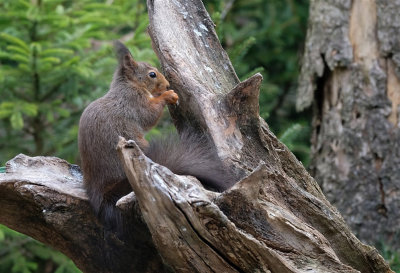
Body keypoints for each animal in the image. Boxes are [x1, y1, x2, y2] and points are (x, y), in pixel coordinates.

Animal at [78, 40, 231, 234]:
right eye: (152, 74)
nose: (167, 85)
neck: (130, 84)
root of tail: (99, 190)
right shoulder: (133, 101)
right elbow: (148, 115)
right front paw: (168, 95)